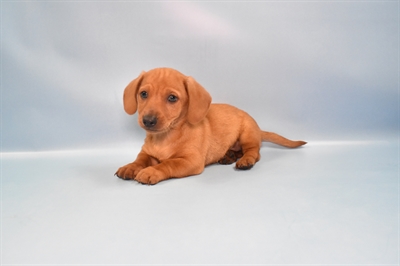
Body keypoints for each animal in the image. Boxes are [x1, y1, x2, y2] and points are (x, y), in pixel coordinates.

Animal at [115, 67, 306, 184]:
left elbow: (167, 164)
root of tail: (258, 130)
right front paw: (130, 167)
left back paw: (245, 160)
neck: (165, 137)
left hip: (247, 134)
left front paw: (151, 171)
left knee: (254, 152)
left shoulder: (190, 161)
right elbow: (140, 160)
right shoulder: (146, 153)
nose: (148, 121)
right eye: (143, 94)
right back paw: (228, 156)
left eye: (172, 98)